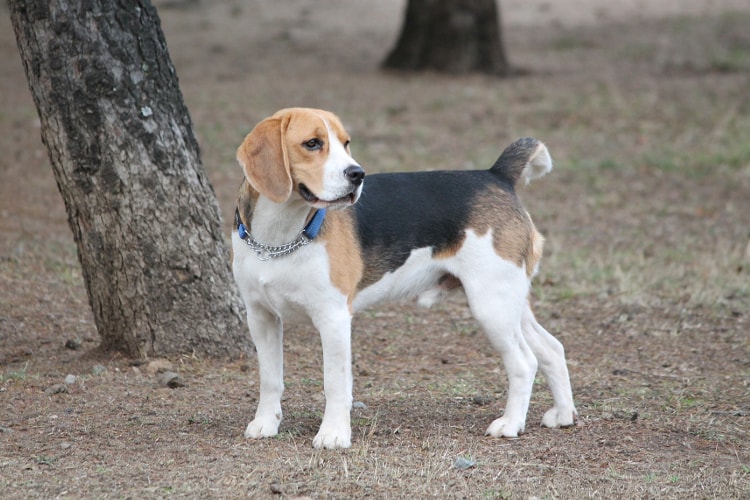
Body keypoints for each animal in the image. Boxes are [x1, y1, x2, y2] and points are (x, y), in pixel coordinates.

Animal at [232, 106, 580, 450]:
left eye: (345, 143)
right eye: (312, 143)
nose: (357, 174)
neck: (279, 237)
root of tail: (496, 175)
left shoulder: (333, 318)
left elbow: (335, 383)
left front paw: (333, 434)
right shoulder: (260, 317)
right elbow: (270, 378)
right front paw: (265, 423)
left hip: (491, 305)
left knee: (524, 361)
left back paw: (510, 424)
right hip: (510, 302)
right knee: (552, 349)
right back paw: (563, 414)